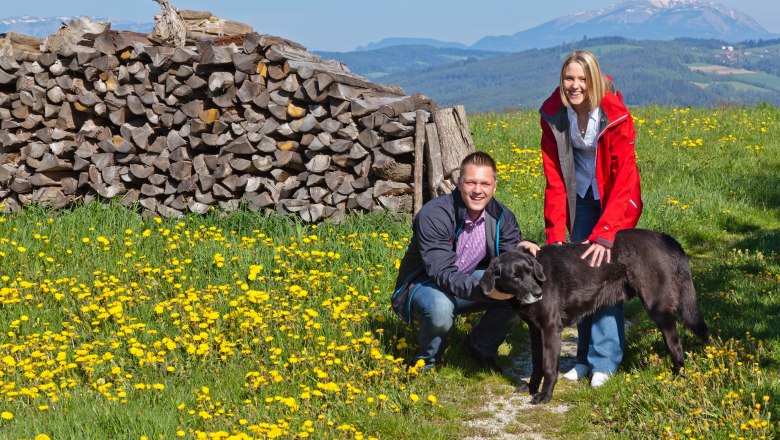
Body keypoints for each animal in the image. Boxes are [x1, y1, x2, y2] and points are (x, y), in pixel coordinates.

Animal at [478, 229, 708, 404]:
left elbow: (549, 366)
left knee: (675, 344)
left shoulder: (551, 328)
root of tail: (666, 238)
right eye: (515, 276)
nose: (538, 293)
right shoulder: (535, 329)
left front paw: (545, 395)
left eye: (530, 272)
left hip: (658, 306)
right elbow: (536, 363)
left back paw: (679, 379)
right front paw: (532, 387)